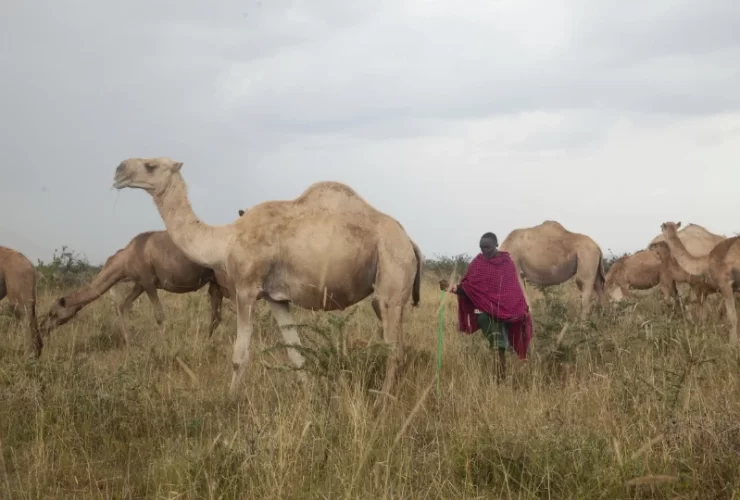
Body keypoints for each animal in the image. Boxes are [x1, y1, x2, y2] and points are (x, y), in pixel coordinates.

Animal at [38, 229, 234, 340]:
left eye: (53, 313)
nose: (43, 329)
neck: (125, 259)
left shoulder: (148, 281)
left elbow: (159, 316)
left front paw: (166, 345)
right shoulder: (139, 283)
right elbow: (123, 305)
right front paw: (130, 342)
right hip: (215, 282)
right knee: (217, 315)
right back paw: (206, 343)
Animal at [110, 156, 422, 398]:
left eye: (150, 165)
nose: (118, 170)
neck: (225, 239)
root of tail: (409, 241)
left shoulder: (246, 288)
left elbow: (239, 355)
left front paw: (229, 401)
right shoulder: (275, 297)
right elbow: (295, 352)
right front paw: (309, 396)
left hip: (392, 270)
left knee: (393, 348)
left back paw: (383, 400)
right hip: (389, 290)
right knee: (400, 343)